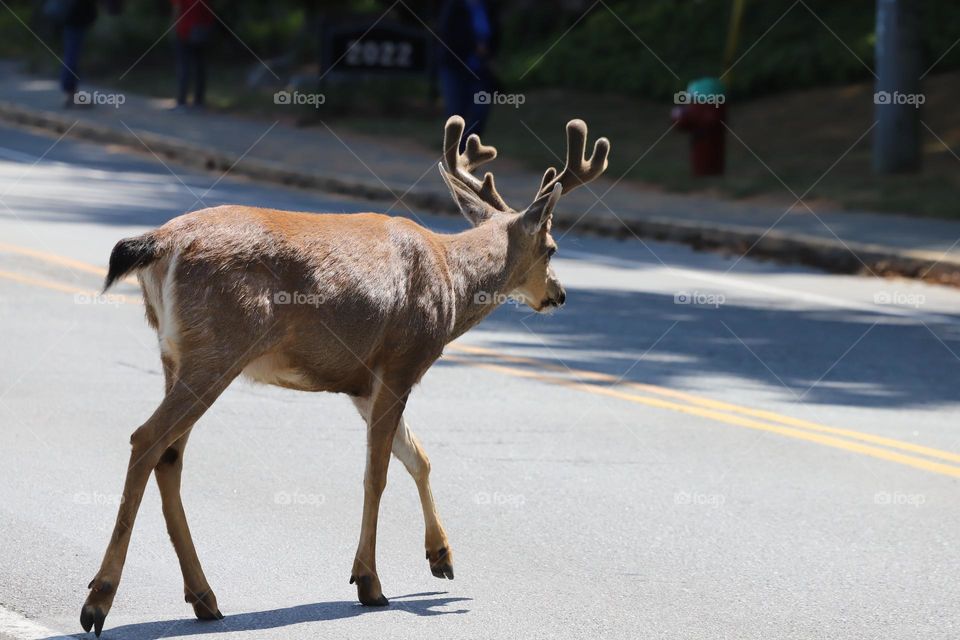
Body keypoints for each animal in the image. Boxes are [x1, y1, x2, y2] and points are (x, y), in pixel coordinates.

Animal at [82, 114, 608, 636]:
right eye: (552, 247)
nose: (559, 294)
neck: (452, 285)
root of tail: (161, 243)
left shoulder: (360, 382)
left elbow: (417, 456)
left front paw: (441, 556)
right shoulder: (401, 360)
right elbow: (376, 473)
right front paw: (369, 581)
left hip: (175, 355)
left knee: (170, 456)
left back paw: (204, 598)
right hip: (218, 349)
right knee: (146, 439)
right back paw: (98, 601)